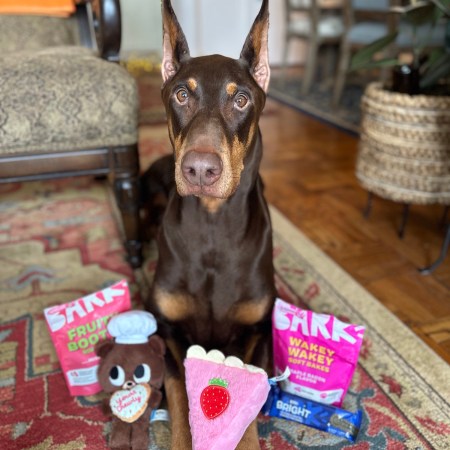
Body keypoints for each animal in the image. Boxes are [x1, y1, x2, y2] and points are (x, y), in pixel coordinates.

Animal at [142, 1, 275, 448]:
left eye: (242, 100)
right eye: (182, 94)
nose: (200, 169)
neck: (215, 225)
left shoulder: (259, 330)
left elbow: (251, 404)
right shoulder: (165, 329)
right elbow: (181, 390)